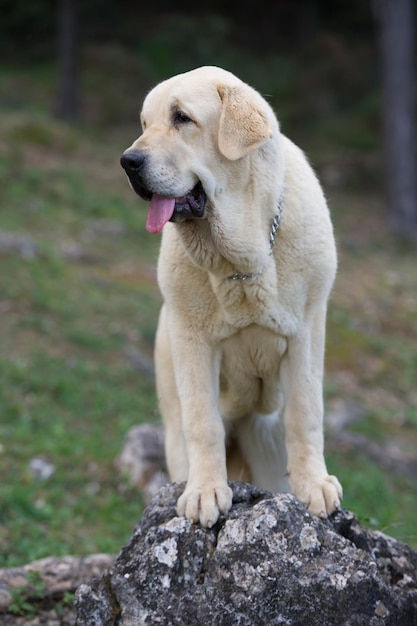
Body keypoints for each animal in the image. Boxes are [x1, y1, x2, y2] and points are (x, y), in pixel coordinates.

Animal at [120, 66, 342, 524]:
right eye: (145, 124)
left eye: (182, 118)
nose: (129, 161)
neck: (240, 262)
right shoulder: (191, 340)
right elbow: (203, 422)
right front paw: (205, 492)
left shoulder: (307, 330)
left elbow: (305, 412)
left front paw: (314, 485)